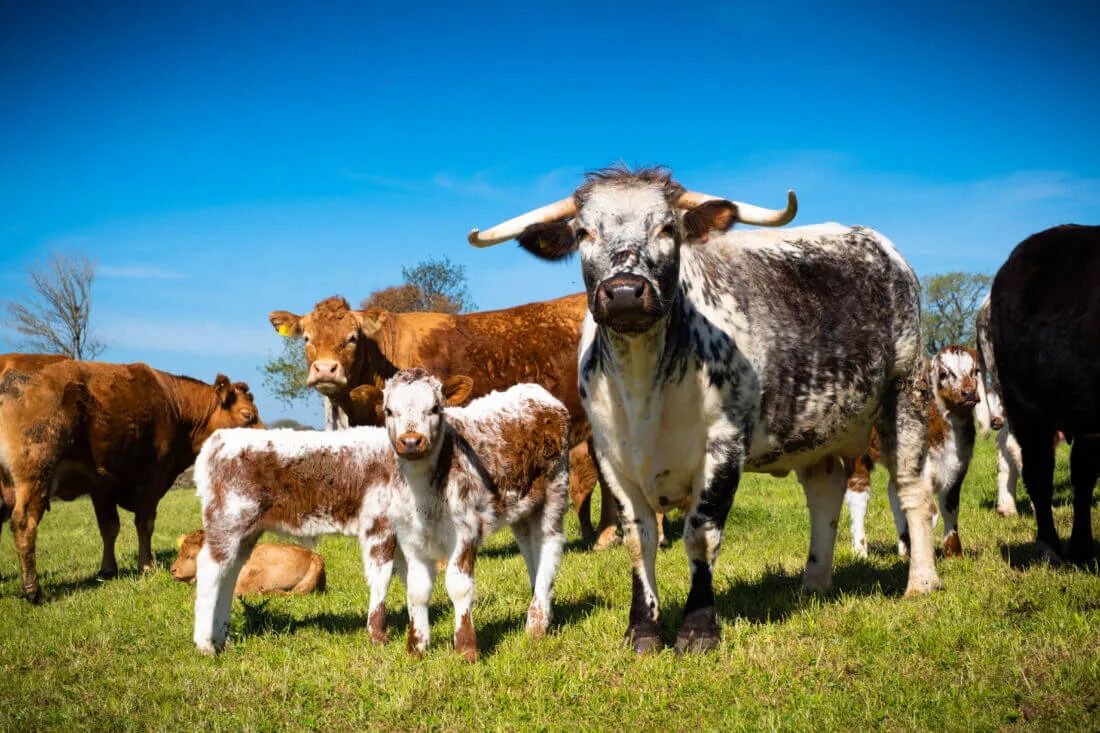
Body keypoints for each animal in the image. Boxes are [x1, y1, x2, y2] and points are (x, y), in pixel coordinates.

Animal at [0, 360, 262, 602]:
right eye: (247, 415)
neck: (176, 408)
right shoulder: (149, 481)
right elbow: (144, 525)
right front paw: (146, 566)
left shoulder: (101, 485)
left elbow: (109, 527)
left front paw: (107, 569)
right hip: (35, 474)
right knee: (24, 523)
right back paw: (32, 589)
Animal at [191, 375, 472, 655]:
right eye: (390, 411)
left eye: (435, 408)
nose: (411, 441)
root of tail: (220, 439)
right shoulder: (378, 525)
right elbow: (381, 577)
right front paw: (379, 636)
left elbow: (409, 578)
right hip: (228, 519)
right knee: (210, 569)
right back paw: (206, 645)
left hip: (246, 530)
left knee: (230, 572)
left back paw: (222, 639)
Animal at [358, 369, 569, 662]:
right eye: (389, 410)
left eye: (435, 408)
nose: (411, 441)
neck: (425, 494)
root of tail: (537, 393)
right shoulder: (411, 536)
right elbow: (416, 590)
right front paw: (417, 647)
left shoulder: (466, 530)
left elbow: (458, 586)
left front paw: (466, 648)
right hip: (522, 508)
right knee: (531, 549)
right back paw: (542, 609)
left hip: (554, 490)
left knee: (550, 545)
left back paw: (535, 624)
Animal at [468, 165, 941, 653]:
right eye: (584, 232)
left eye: (668, 228)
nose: (624, 292)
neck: (643, 387)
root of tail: (881, 247)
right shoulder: (611, 457)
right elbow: (638, 539)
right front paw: (642, 630)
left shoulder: (723, 448)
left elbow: (701, 535)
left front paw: (698, 630)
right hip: (817, 427)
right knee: (824, 494)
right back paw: (814, 583)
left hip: (906, 392)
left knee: (912, 489)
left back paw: (921, 582)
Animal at [844, 346, 982, 558]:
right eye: (943, 373)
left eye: (975, 371)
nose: (968, 393)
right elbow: (931, 511)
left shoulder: (958, 467)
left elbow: (950, 508)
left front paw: (954, 553)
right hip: (857, 455)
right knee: (857, 496)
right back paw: (860, 551)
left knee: (893, 492)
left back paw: (904, 548)